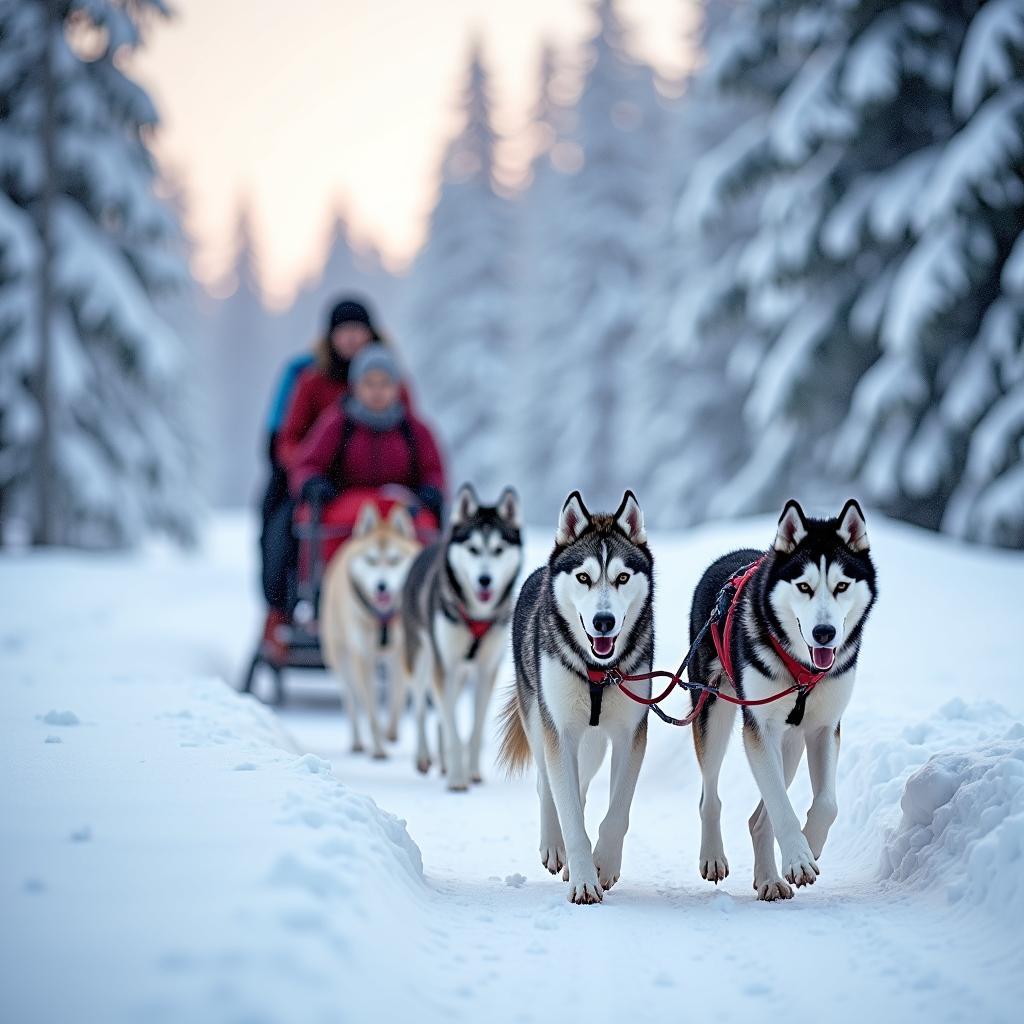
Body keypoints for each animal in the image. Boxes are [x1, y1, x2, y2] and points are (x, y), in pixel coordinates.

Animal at [317, 503, 417, 761]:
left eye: (394, 560)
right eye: (371, 560)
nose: (381, 586)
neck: (382, 619)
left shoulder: (402, 654)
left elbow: (396, 698)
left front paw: (391, 732)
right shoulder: (363, 656)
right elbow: (370, 711)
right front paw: (379, 747)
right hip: (340, 660)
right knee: (352, 702)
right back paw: (358, 742)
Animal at [401, 483, 524, 786]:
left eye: (498, 549)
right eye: (473, 548)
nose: (485, 580)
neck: (476, 614)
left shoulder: (486, 669)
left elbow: (474, 729)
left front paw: (471, 771)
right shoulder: (443, 664)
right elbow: (453, 728)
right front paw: (457, 779)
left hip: (459, 672)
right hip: (421, 659)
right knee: (421, 706)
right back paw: (425, 757)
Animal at [497, 491, 655, 901]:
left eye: (622, 577)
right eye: (584, 577)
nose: (604, 621)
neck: (598, 670)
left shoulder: (630, 732)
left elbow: (618, 810)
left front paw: (604, 864)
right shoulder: (560, 731)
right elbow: (567, 810)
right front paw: (583, 878)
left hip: (594, 743)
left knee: (581, 786)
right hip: (539, 723)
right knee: (547, 785)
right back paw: (555, 847)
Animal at [688, 499, 872, 901]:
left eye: (841, 586)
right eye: (804, 586)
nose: (825, 632)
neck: (803, 671)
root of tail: (733, 555)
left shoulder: (824, 728)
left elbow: (827, 804)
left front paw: (809, 845)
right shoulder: (759, 728)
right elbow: (780, 804)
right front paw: (799, 858)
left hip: (791, 744)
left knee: (759, 818)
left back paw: (770, 879)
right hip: (714, 711)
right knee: (710, 795)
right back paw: (713, 854)